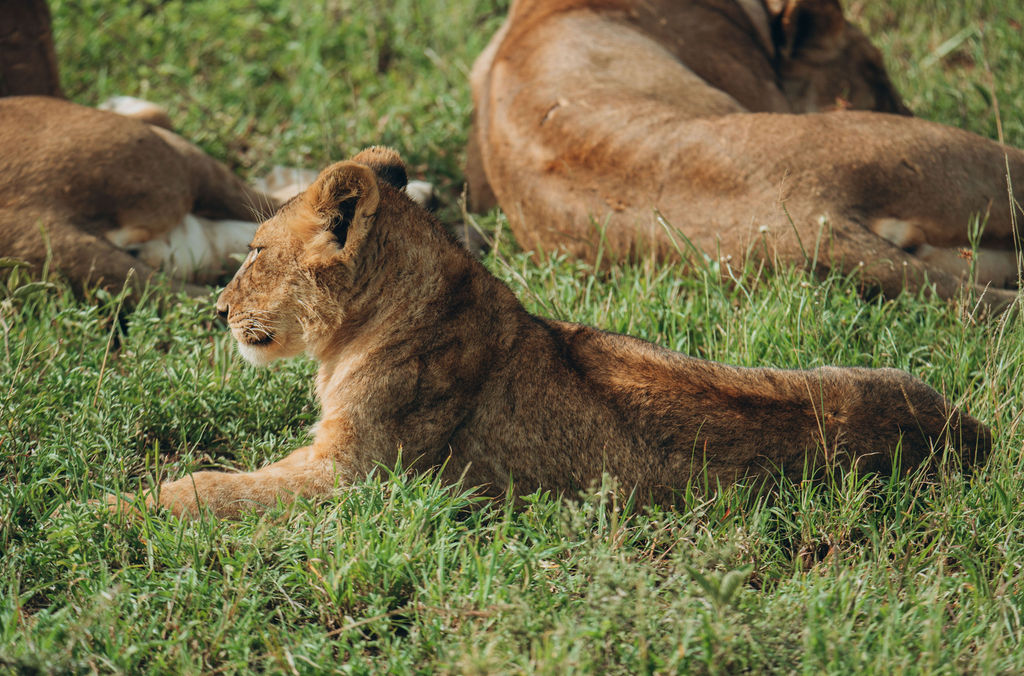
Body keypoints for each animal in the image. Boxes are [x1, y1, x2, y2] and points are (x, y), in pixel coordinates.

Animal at [107, 147, 989, 519]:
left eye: (255, 251)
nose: (216, 312)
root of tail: (967, 435)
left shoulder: (356, 475)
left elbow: (226, 489)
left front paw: (122, 507)